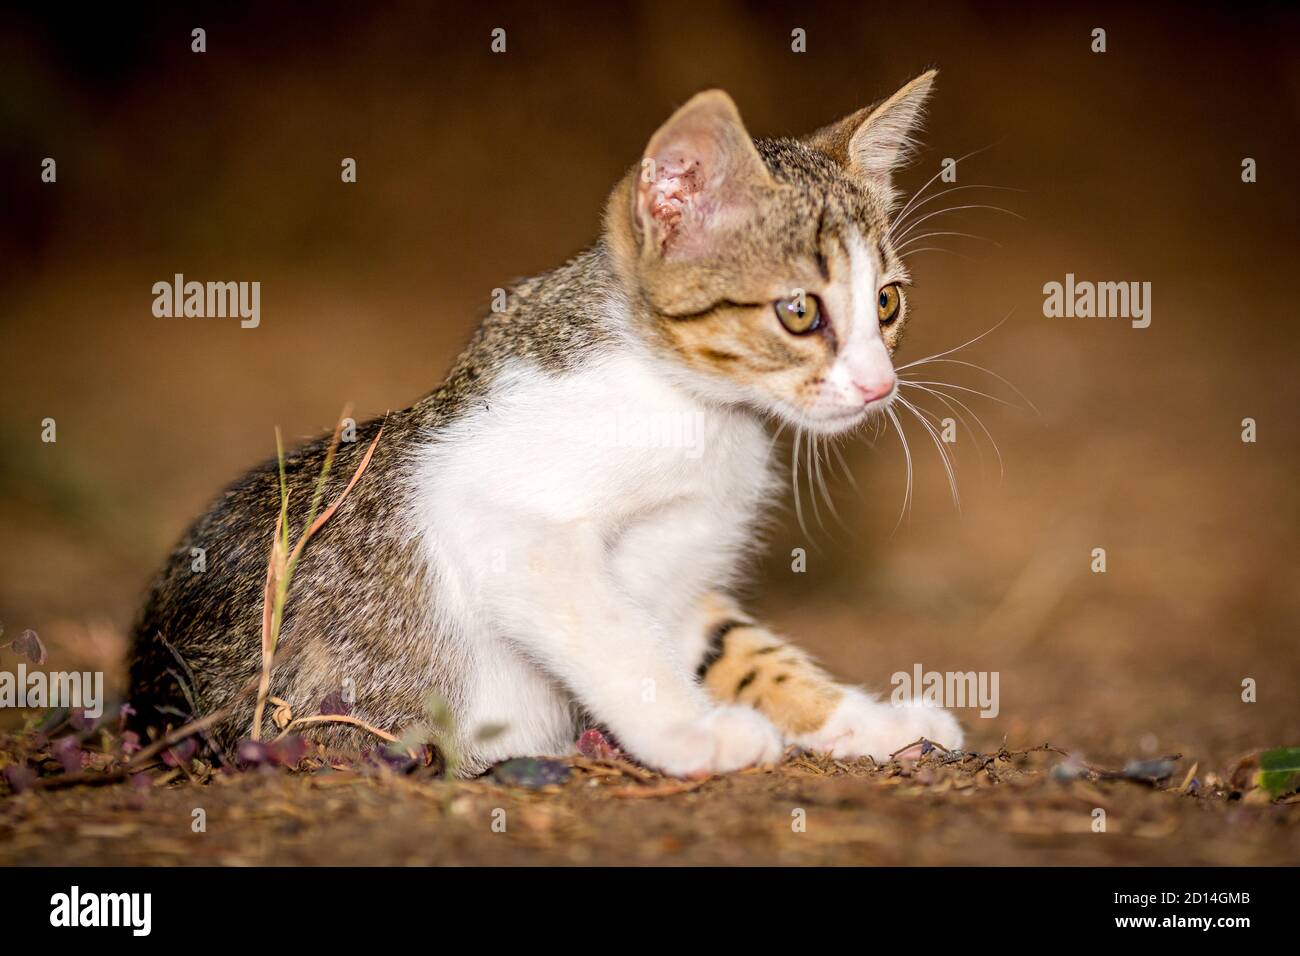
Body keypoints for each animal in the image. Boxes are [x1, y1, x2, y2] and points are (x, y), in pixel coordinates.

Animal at [129, 72, 967, 780]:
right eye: (799, 312)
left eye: (887, 303)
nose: (880, 385)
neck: (696, 405)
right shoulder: (499, 517)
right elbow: (616, 633)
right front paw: (695, 733)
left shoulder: (677, 565)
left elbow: (736, 644)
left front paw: (871, 721)